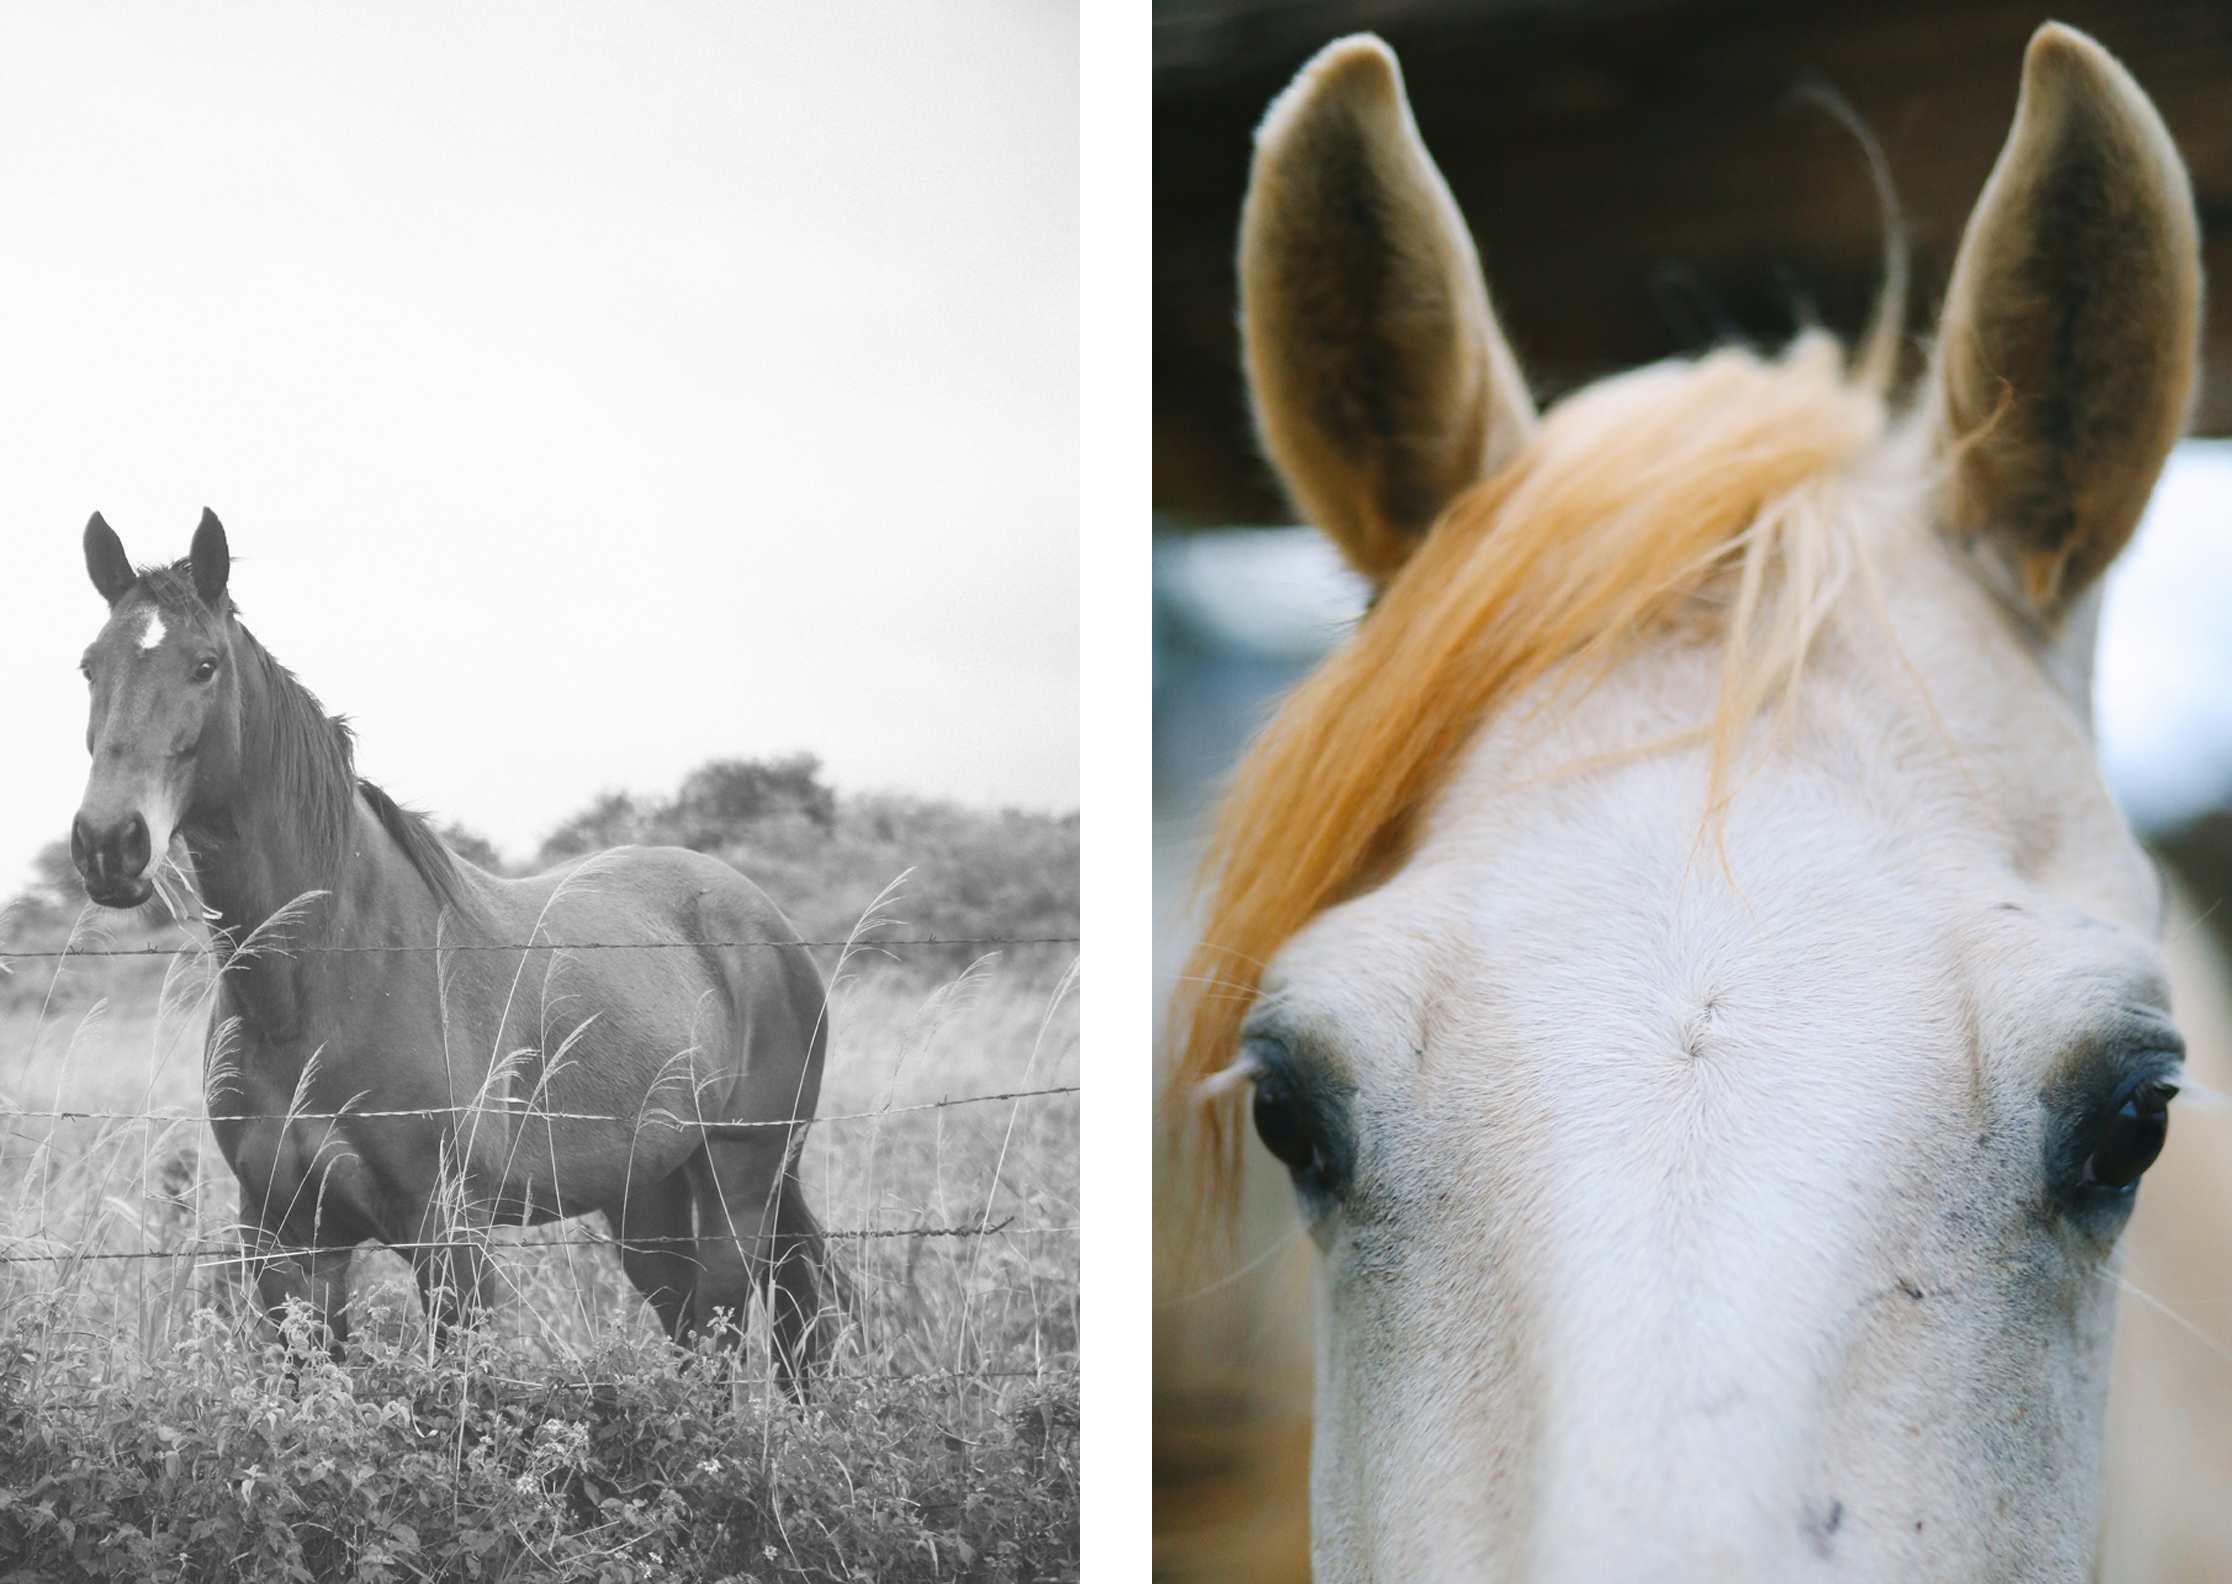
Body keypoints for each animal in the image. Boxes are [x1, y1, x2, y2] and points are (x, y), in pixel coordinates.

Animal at [76, 515, 839, 1392]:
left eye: (204, 665)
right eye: (90, 666)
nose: (109, 844)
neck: (326, 982)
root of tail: (769, 928)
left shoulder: (448, 1236)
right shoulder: (289, 1241)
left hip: (739, 1187)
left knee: (729, 1332)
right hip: (646, 1203)